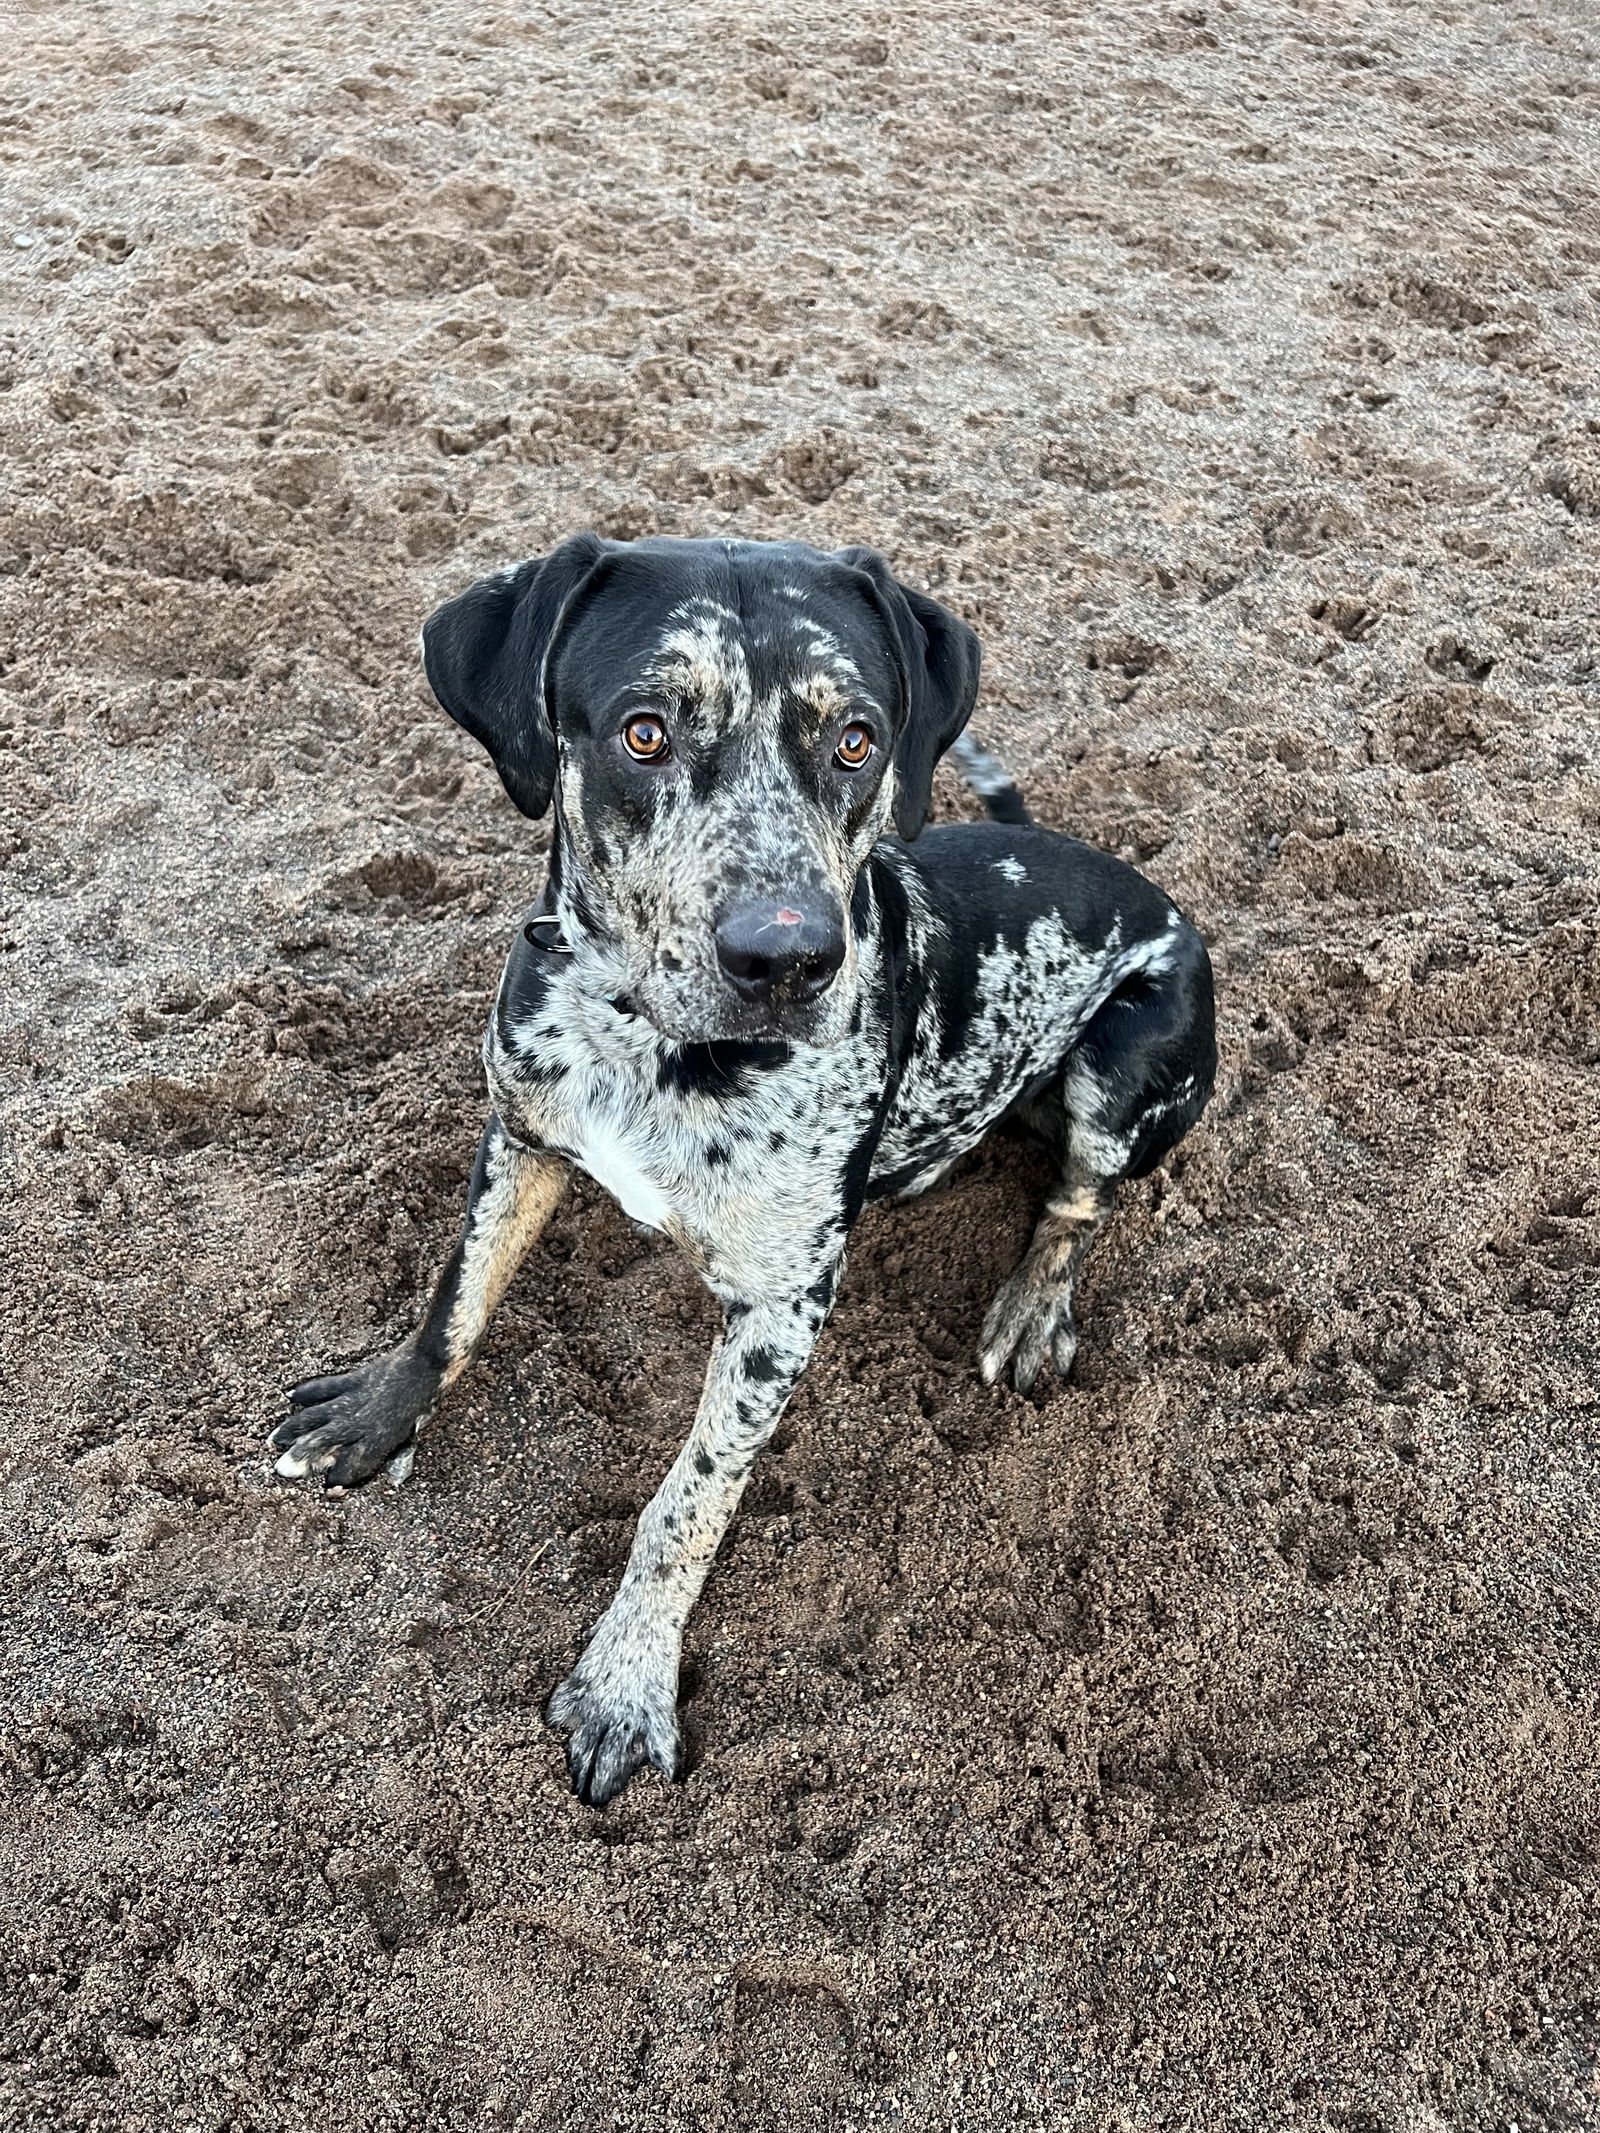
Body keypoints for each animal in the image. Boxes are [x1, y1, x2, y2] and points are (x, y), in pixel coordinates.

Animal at [269, 533, 1220, 1800]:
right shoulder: (519, 1132)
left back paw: (1030, 1307)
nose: (789, 958)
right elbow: (452, 1304)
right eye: (644, 731)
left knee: (1079, 1199)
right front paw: (378, 1412)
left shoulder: (783, 1305)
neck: (644, 1046)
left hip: (1132, 1056)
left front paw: (624, 1683)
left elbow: (685, 1502)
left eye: (856, 738)